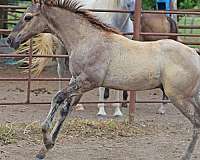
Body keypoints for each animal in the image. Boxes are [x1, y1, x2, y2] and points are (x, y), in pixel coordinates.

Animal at [7, 0, 200, 159]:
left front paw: (46, 138)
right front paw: (44, 150)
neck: (87, 39)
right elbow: (64, 110)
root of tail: (195, 54)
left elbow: (57, 98)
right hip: (191, 96)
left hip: (179, 97)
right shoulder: (76, 82)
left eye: (27, 17)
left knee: (196, 122)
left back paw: (185, 156)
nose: (10, 39)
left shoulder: (88, 81)